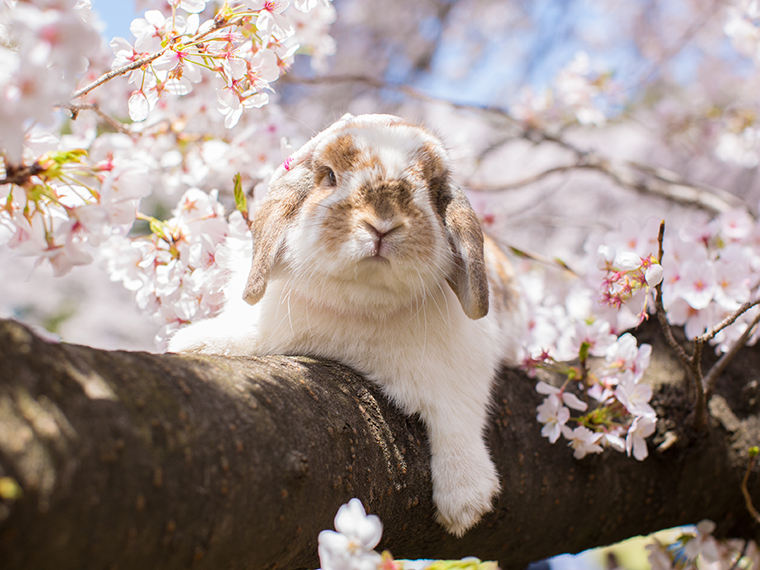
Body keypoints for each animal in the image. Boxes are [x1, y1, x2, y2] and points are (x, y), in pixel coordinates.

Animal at [167, 113, 524, 536]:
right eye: (331, 176)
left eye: (431, 187)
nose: (382, 224)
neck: (357, 308)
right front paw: (192, 343)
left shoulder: (466, 372)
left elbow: (459, 420)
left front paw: (465, 501)